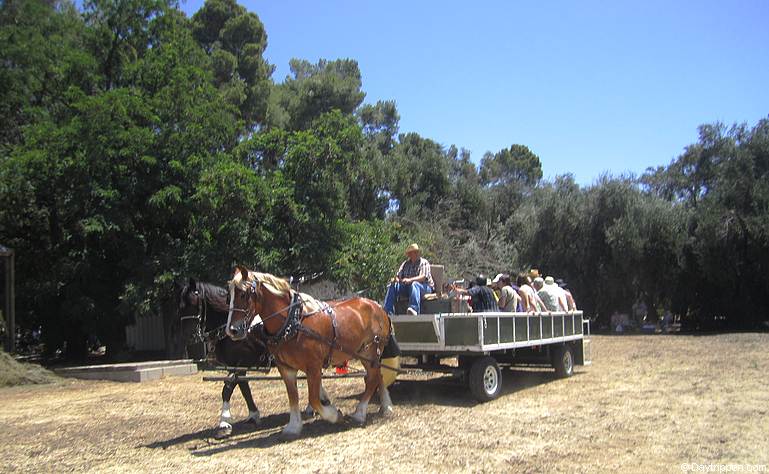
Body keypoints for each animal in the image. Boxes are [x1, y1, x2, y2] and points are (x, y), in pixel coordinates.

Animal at [222, 266, 390, 436]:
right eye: (229, 296)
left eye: (244, 294)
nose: (232, 330)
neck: (293, 322)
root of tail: (378, 307)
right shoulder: (286, 368)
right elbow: (293, 397)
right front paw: (294, 426)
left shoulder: (314, 366)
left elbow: (314, 399)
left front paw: (334, 415)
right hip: (364, 354)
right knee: (378, 375)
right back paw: (386, 407)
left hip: (371, 351)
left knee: (372, 379)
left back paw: (360, 413)